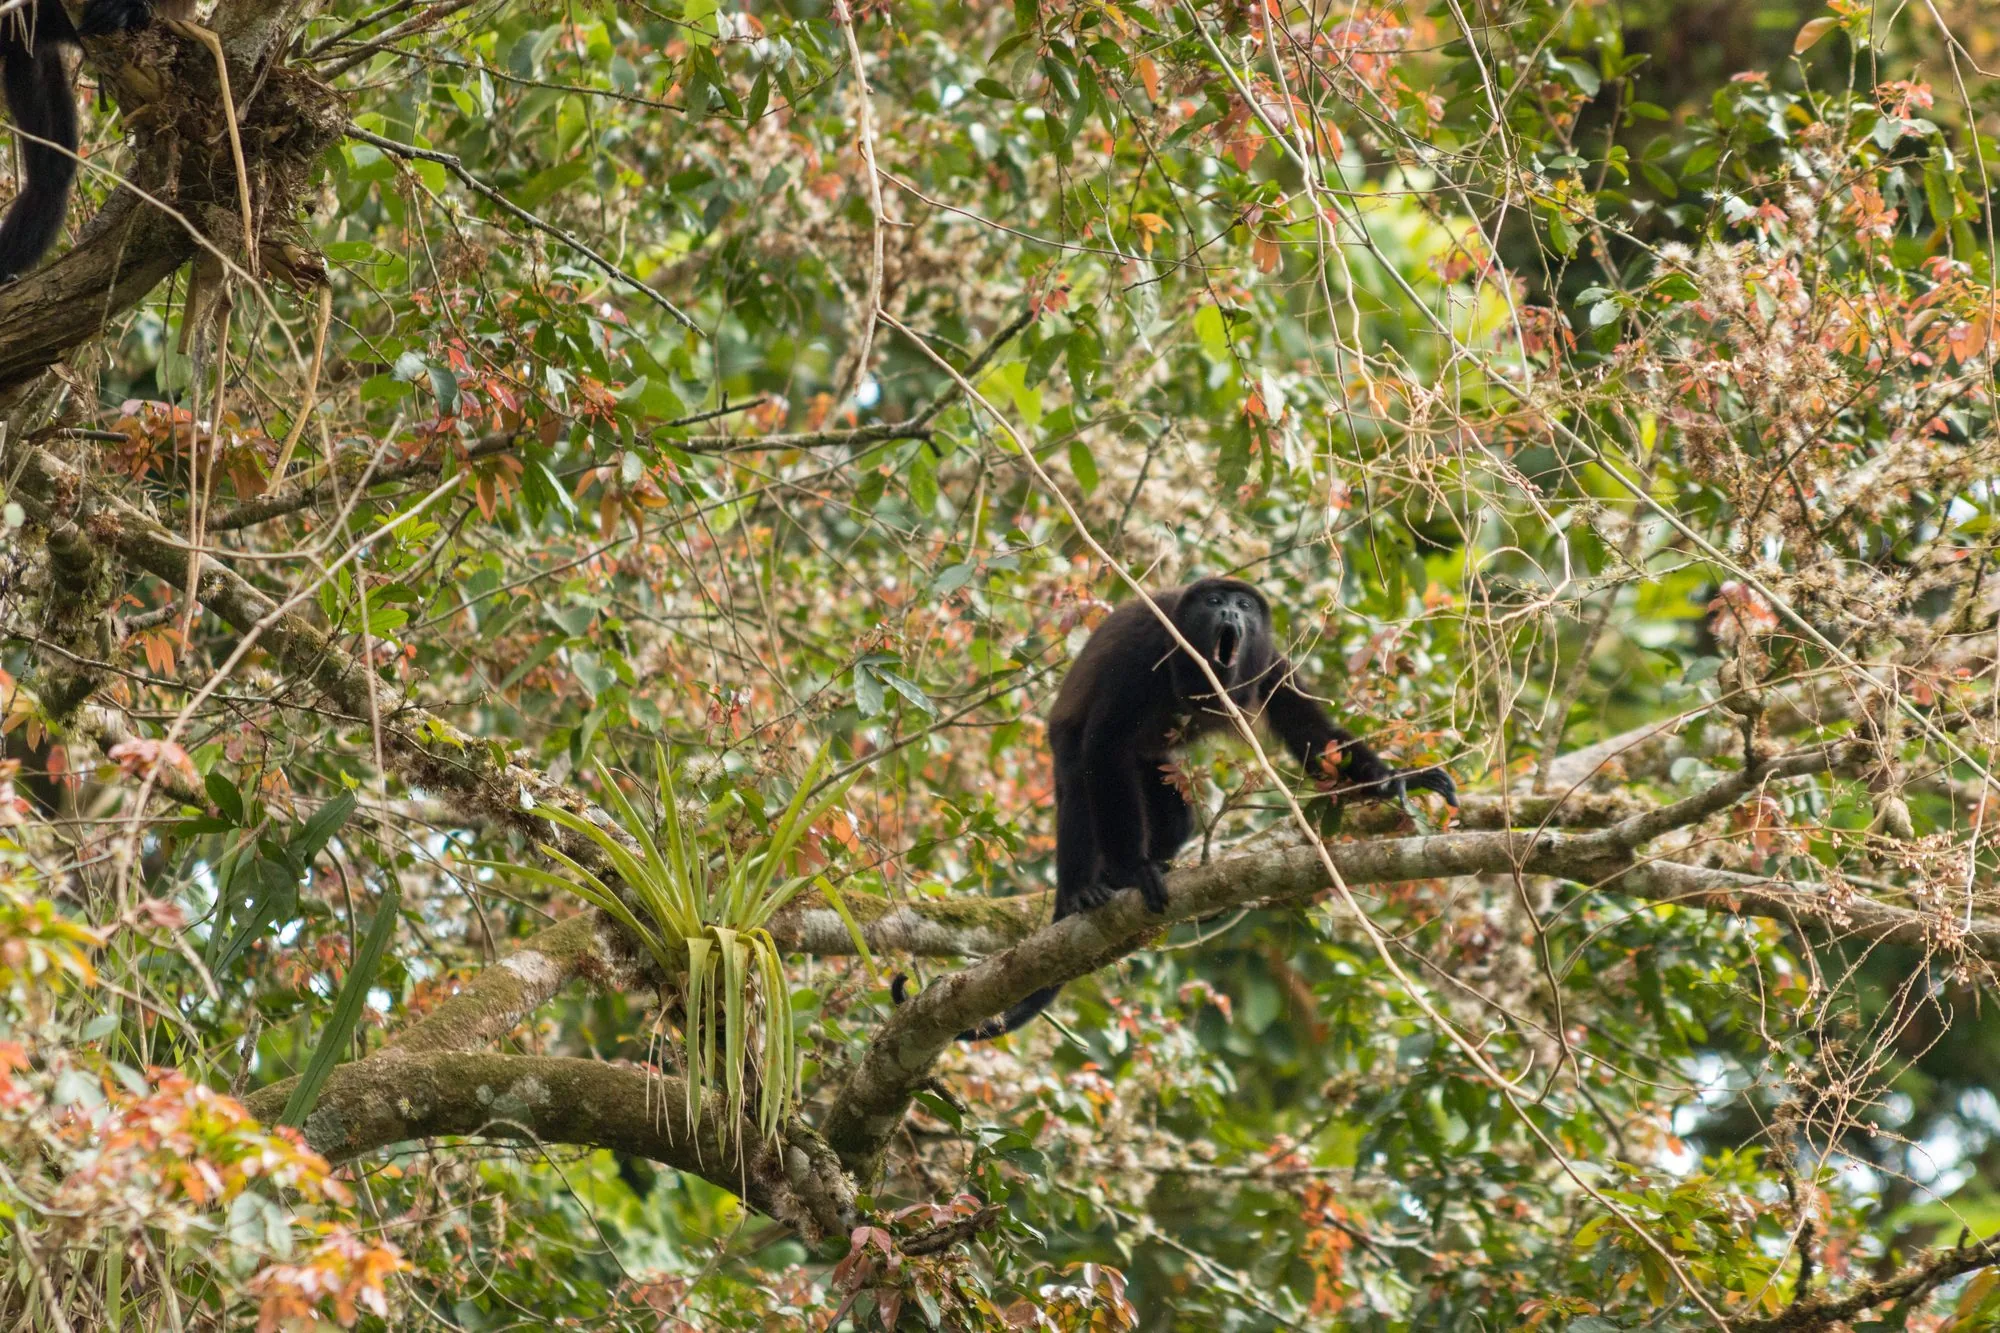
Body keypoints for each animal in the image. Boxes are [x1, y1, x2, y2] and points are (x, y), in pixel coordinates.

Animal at [894, 576, 1457, 1041]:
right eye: (1214, 602)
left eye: (1243, 606)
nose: (1229, 612)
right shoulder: (1146, 648)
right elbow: (1104, 746)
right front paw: (1132, 872)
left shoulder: (1270, 661)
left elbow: (1316, 740)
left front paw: (1398, 781)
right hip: (1064, 745)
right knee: (1082, 781)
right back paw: (1085, 891)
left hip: (1156, 769)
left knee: (1174, 810)